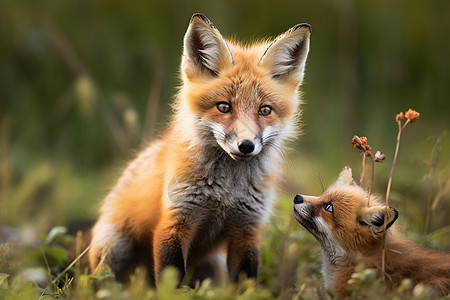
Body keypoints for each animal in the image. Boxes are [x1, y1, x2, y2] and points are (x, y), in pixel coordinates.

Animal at [89, 13, 312, 286]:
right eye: (224, 107)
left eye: (265, 110)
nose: (246, 146)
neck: (226, 192)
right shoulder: (176, 220)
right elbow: (171, 277)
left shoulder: (247, 229)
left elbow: (247, 282)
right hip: (114, 250)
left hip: (212, 266)